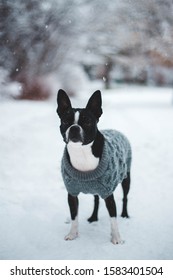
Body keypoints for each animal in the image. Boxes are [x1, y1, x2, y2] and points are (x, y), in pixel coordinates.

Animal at [56, 89, 132, 243]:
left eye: (87, 122)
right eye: (66, 121)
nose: (74, 128)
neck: (82, 151)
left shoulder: (108, 194)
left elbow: (113, 219)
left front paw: (116, 238)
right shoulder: (72, 193)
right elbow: (74, 216)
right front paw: (72, 234)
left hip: (126, 177)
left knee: (125, 197)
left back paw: (125, 214)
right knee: (96, 200)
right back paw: (93, 217)